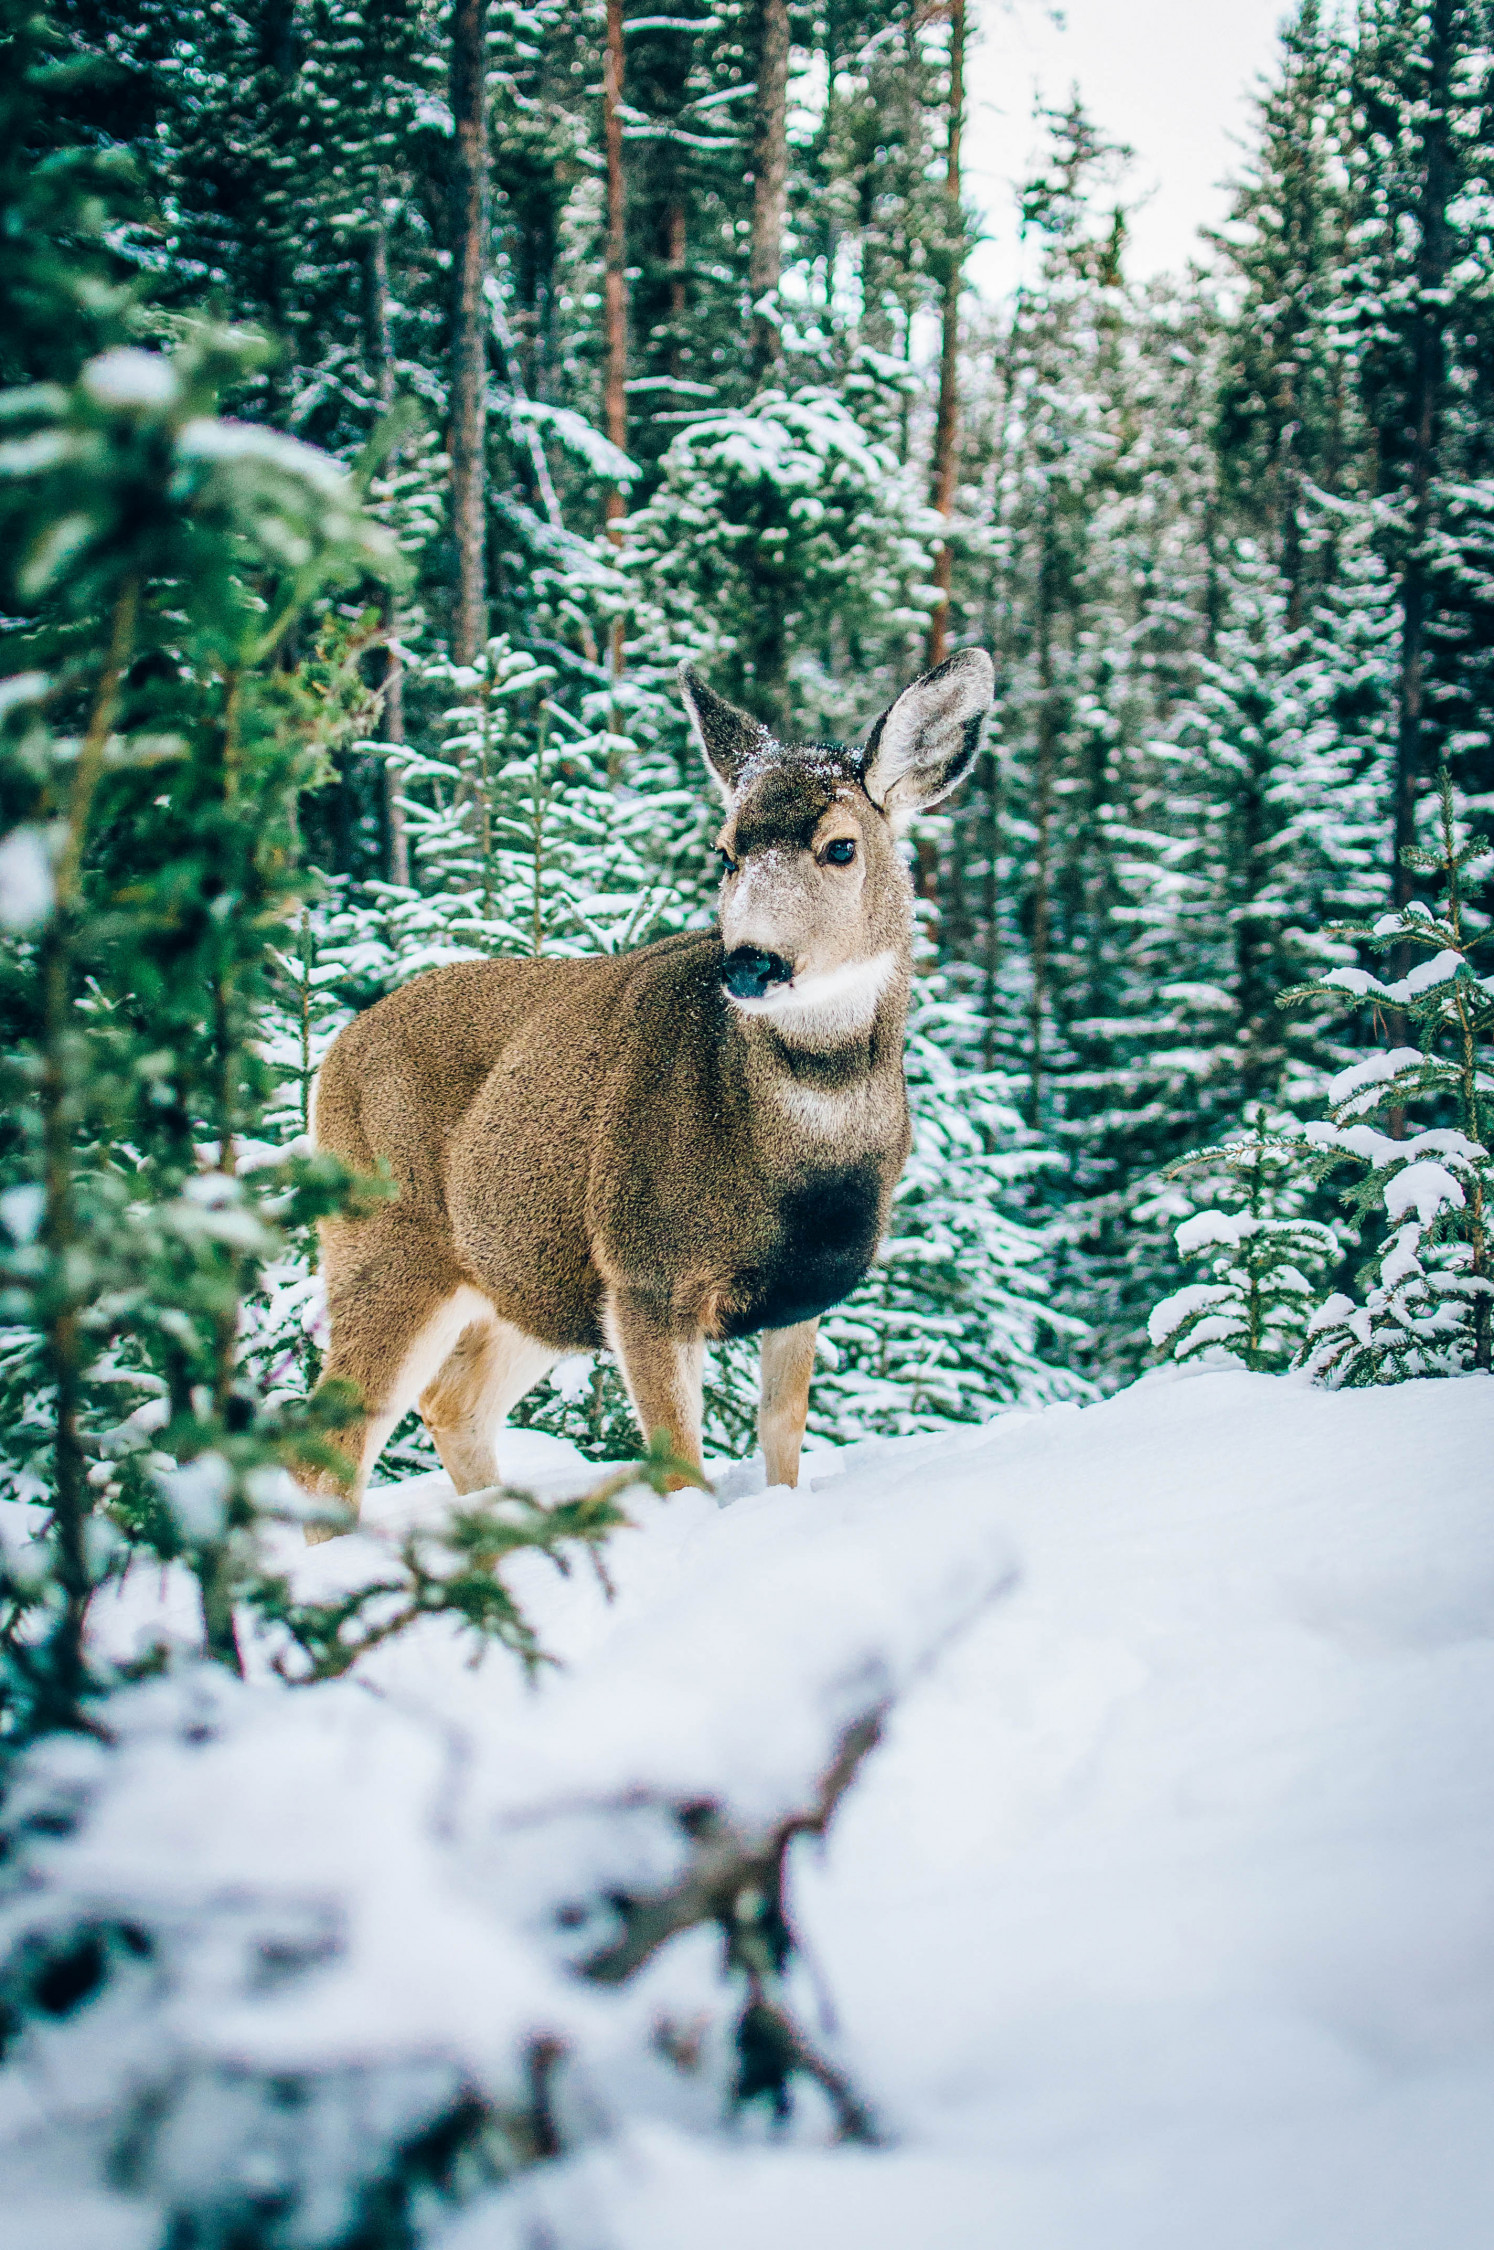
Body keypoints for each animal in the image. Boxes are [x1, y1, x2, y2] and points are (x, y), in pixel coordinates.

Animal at [303, 652, 990, 1530]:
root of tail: (335, 1052)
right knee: (332, 1445)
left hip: (526, 1274)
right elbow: (679, 1465)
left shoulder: (803, 1290)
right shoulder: (644, 1273)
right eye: (726, 852)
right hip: (384, 1242)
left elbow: (783, 1439)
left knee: (453, 1403)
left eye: (840, 847)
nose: (751, 961)